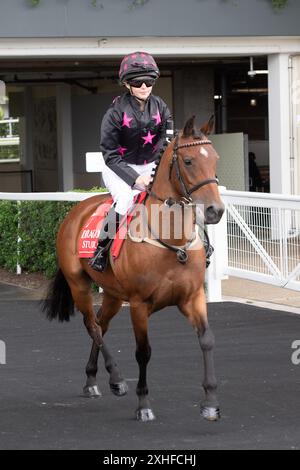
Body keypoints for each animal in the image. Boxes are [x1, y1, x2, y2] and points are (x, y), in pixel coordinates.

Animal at [42, 114, 225, 422]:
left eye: (215, 159)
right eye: (188, 161)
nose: (215, 210)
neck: (171, 242)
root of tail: (75, 212)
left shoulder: (193, 297)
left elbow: (208, 340)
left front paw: (211, 401)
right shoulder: (139, 304)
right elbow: (143, 351)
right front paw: (144, 405)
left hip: (114, 295)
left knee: (101, 324)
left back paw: (92, 380)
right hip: (79, 284)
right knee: (92, 325)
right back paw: (116, 379)